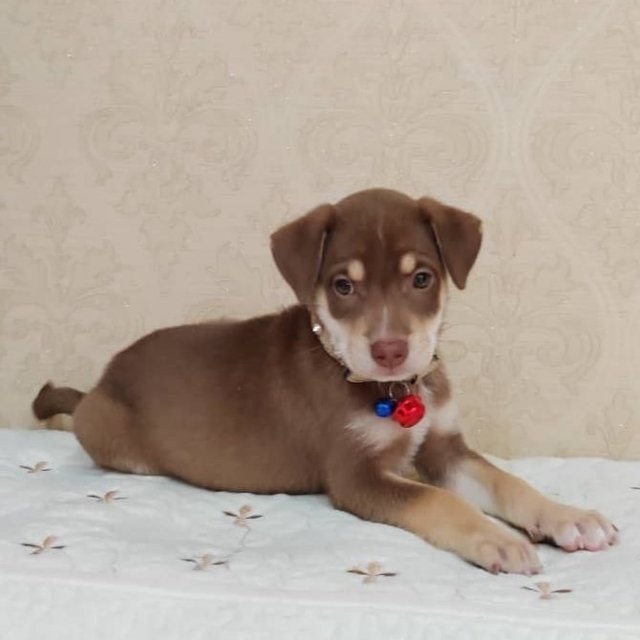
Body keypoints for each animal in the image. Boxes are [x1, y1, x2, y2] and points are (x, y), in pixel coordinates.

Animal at [32, 188, 616, 572]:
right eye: (342, 286)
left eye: (421, 278)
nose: (389, 350)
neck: (393, 391)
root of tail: (96, 386)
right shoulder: (355, 476)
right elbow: (440, 502)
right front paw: (497, 540)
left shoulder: (445, 449)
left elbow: (506, 482)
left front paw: (569, 517)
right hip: (110, 433)